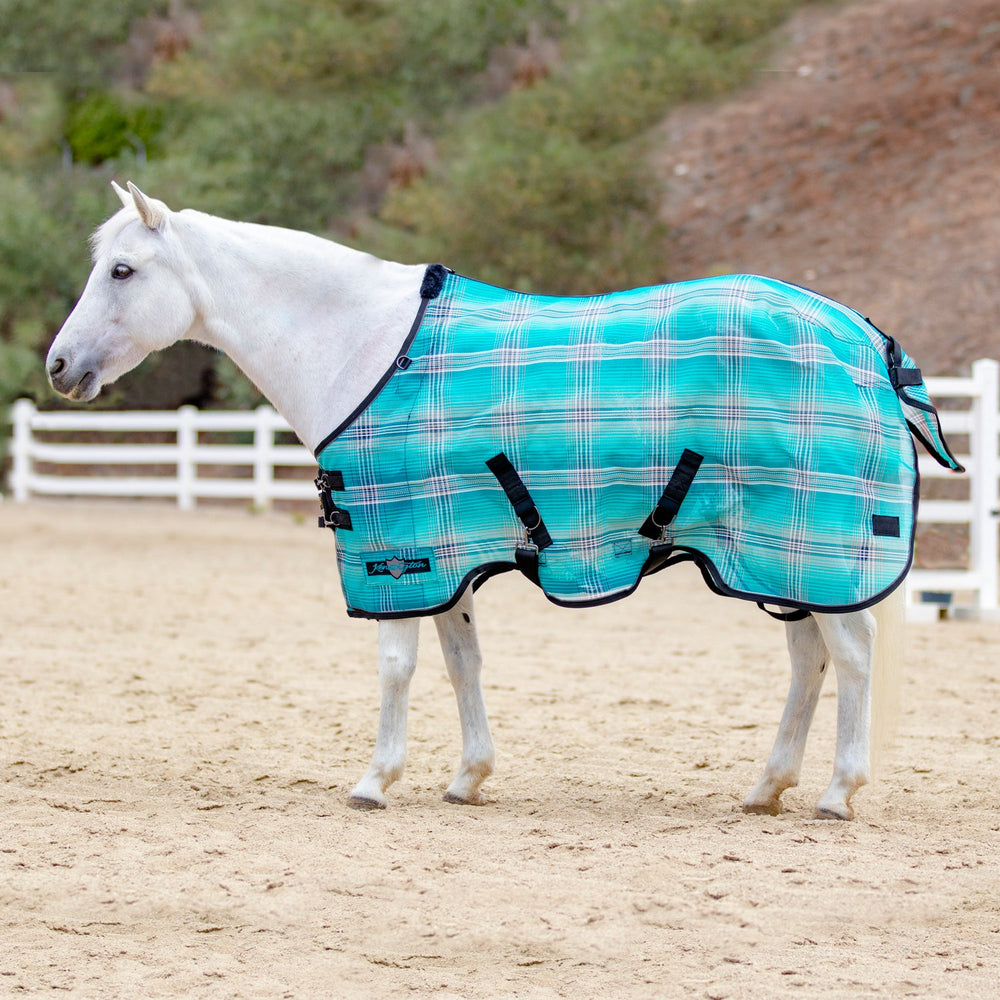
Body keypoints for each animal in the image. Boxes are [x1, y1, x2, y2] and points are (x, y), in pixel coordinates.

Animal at [46, 181, 952, 820]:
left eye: (123, 270)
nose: (59, 366)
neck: (363, 346)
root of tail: (862, 336)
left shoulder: (395, 549)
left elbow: (399, 666)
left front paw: (375, 780)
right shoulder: (444, 553)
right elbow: (461, 660)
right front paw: (467, 777)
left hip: (813, 556)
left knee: (854, 655)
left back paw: (837, 792)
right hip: (773, 561)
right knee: (809, 662)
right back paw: (767, 788)